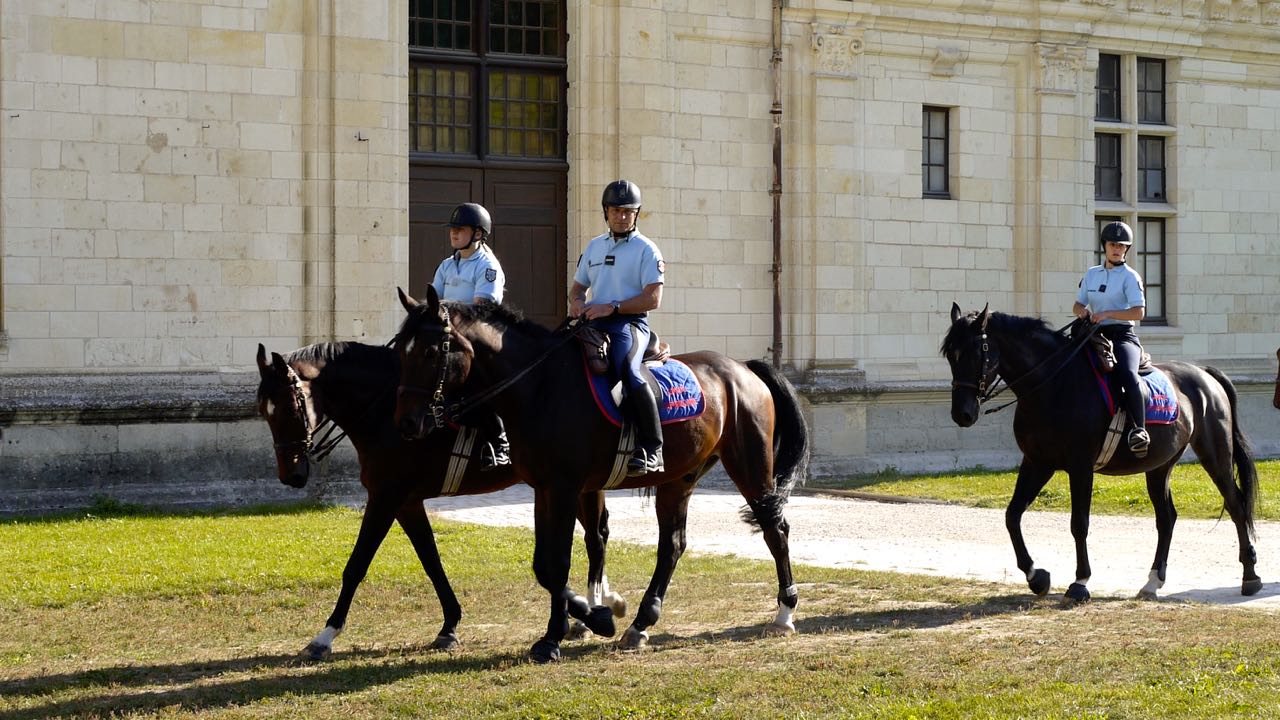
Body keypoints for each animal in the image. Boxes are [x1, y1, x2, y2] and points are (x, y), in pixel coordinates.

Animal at [254, 338, 624, 661]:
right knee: (599, 536)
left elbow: (357, 565)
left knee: (595, 539)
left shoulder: (386, 496)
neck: (383, 412)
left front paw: (325, 636)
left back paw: (592, 609)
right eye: (264, 411)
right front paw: (449, 625)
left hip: (578, 486)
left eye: (291, 408)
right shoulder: (406, 502)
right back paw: (601, 603)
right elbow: (430, 559)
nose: (291, 475)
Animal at [391, 286, 808, 661]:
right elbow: (544, 566)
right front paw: (589, 618)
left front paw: (564, 633)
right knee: (672, 545)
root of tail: (743, 368)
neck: (540, 387)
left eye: (431, 352)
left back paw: (784, 613)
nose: (407, 423)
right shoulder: (544, 489)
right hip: (679, 478)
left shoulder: (563, 487)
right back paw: (640, 625)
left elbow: (557, 564)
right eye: (400, 352)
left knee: (775, 530)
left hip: (750, 466)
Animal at [942, 302, 1259, 599]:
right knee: (1167, 518)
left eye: (976, 351)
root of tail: (1204, 374)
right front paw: (1037, 576)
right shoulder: (1037, 462)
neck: (1053, 386)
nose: (962, 414)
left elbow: (1079, 524)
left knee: (1236, 505)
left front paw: (1080, 582)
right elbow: (1012, 515)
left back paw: (1250, 576)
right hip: (1159, 466)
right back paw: (1152, 581)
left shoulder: (1080, 467)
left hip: (1215, 454)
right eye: (950, 355)